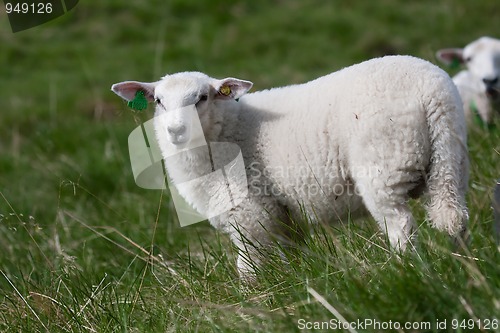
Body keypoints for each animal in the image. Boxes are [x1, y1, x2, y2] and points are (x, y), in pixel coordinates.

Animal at [112, 55, 468, 278]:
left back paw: (408, 272)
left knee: (401, 227)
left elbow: (248, 268)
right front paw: (297, 284)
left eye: (202, 98)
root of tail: (433, 93)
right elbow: (291, 256)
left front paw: (253, 302)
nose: (175, 130)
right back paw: (466, 269)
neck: (228, 130)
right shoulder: (282, 213)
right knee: (455, 218)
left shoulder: (249, 211)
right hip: (450, 159)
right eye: (159, 101)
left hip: (384, 165)